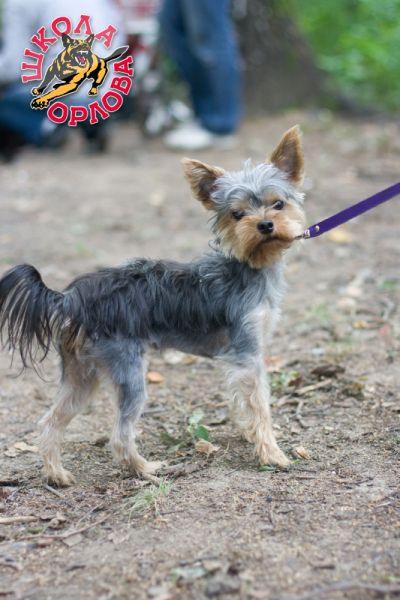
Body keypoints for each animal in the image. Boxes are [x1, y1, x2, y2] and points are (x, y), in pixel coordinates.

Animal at [0, 126, 306, 486]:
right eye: (237, 214)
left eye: (278, 204)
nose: (265, 225)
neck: (249, 263)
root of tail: (70, 298)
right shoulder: (248, 355)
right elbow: (260, 406)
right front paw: (271, 453)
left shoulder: (240, 361)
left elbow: (243, 403)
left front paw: (250, 436)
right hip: (128, 370)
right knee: (119, 435)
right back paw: (144, 469)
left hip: (82, 373)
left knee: (50, 420)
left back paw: (56, 474)